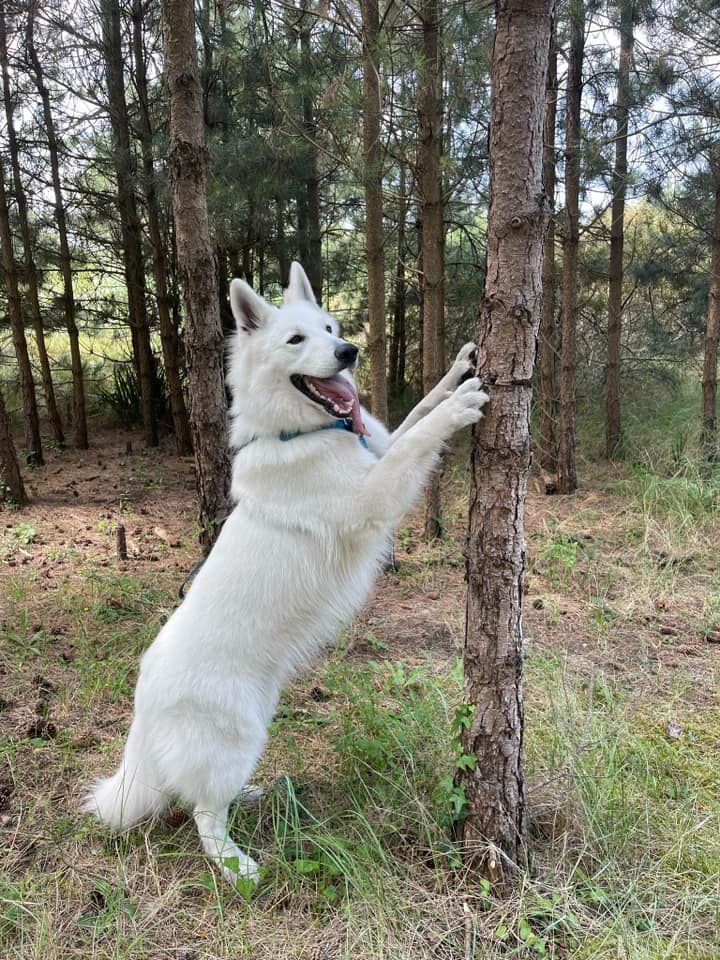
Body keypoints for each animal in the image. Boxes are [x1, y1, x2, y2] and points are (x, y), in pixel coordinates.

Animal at [83, 260, 490, 884]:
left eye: (330, 329)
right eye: (297, 340)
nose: (348, 352)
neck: (309, 431)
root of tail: (144, 704)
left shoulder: (379, 447)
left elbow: (415, 415)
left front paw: (458, 369)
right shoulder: (375, 494)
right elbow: (420, 436)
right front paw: (461, 403)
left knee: (196, 796)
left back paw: (248, 798)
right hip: (238, 737)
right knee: (203, 816)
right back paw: (238, 869)